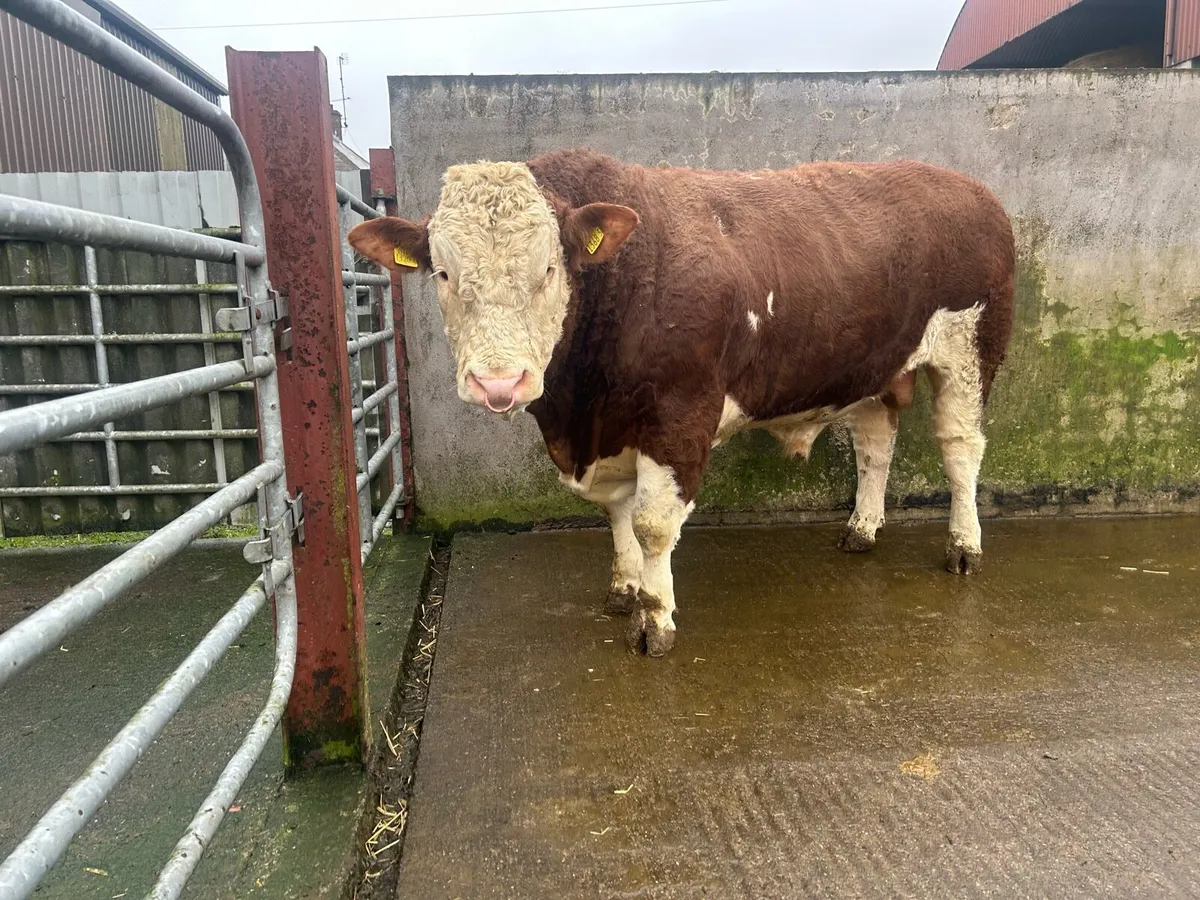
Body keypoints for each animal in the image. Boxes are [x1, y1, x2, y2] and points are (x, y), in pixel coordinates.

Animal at [349, 147, 1015, 657]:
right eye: (441, 273)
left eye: (548, 270)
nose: (498, 383)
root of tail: (972, 188)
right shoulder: (611, 427)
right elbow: (617, 513)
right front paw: (625, 590)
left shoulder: (678, 414)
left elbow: (651, 523)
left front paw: (655, 619)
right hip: (873, 369)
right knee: (875, 445)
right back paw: (862, 529)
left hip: (969, 350)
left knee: (960, 449)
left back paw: (964, 547)